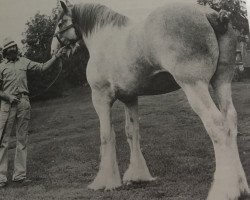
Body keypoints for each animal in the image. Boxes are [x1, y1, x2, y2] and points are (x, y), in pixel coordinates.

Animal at [50, 0, 250, 199]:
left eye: (60, 23)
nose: (53, 51)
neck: (104, 39)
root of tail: (211, 15)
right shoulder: (130, 98)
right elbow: (132, 132)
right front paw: (137, 176)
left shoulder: (100, 98)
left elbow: (107, 136)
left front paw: (105, 181)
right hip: (222, 81)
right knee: (230, 121)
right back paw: (241, 188)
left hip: (194, 85)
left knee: (217, 125)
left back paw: (224, 191)